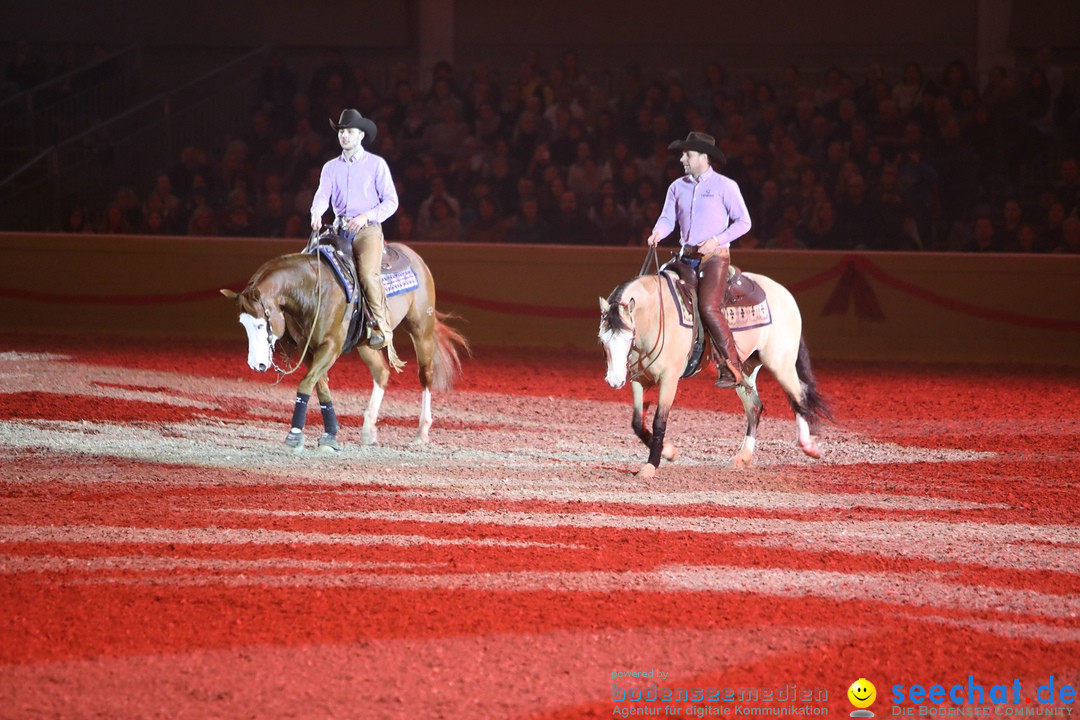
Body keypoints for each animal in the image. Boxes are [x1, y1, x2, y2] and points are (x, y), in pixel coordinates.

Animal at [221, 234, 466, 451]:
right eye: (243, 324)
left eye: (261, 325)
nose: (257, 365)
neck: (312, 289)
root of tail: (414, 256)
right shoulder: (307, 348)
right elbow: (320, 386)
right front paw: (330, 435)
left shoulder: (331, 346)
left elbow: (306, 384)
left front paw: (295, 435)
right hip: (366, 344)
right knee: (382, 372)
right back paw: (368, 430)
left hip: (421, 328)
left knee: (425, 375)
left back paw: (421, 432)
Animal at [596, 255, 829, 474]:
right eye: (602, 339)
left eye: (629, 337)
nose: (614, 381)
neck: (656, 316)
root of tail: (784, 293)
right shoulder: (639, 379)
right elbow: (637, 422)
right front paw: (669, 452)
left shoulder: (669, 378)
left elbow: (659, 421)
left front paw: (651, 465)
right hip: (745, 369)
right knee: (755, 407)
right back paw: (743, 457)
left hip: (781, 363)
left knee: (799, 396)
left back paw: (809, 447)